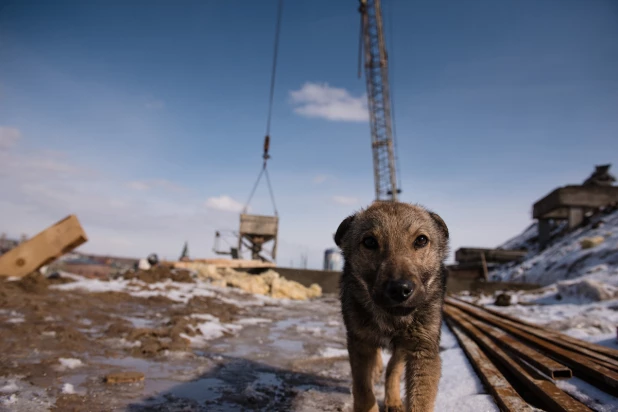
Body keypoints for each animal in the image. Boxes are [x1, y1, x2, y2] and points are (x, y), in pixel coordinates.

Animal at [332, 202, 448, 412]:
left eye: (421, 240)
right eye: (369, 242)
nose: (400, 289)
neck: (392, 319)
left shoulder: (423, 350)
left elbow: (415, 394)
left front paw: (393, 398)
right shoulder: (358, 341)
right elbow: (363, 389)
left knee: (394, 366)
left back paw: (392, 399)